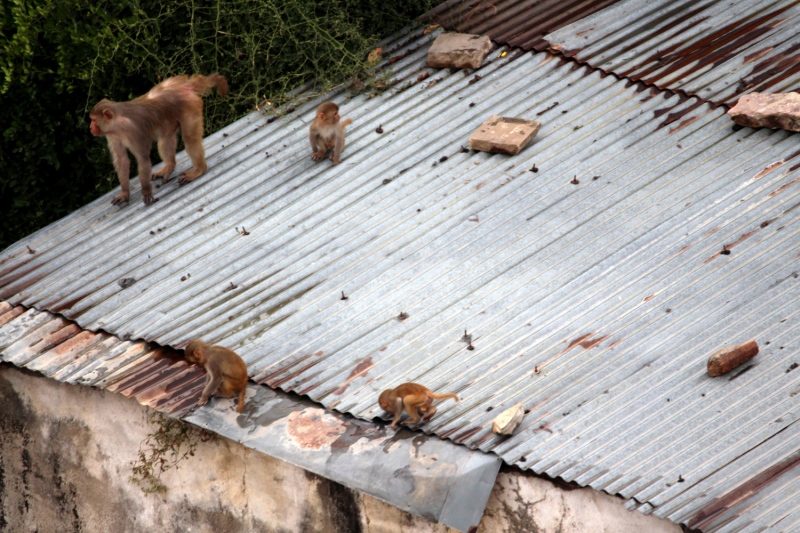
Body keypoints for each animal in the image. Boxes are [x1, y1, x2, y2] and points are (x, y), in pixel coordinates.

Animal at [90, 74, 228, 206]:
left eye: (94, 120)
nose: (90, 127)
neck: (118, 123)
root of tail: (184, 85)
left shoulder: (134, 132)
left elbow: (143, 160)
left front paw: (146, 191)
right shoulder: (113, 135)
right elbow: (121, 159)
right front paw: (124, 193)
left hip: (190, 107)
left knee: (190, 138)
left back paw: (199, 169)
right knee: (166, 137)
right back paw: (170, 166)